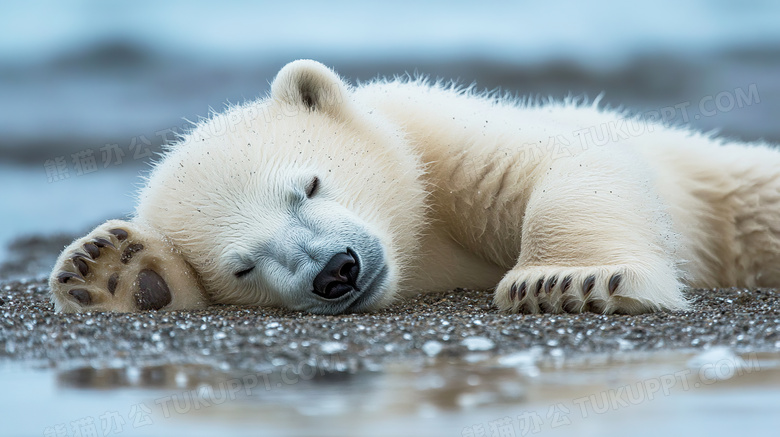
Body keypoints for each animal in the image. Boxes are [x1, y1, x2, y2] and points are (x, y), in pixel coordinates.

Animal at [47, 60, 780, 314]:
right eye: (244, 264)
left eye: (309, 185)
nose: (336, 270)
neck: (417, 249)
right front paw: (116, 272)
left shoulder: (439, 144)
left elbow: (559, 165)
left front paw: (565, 282)